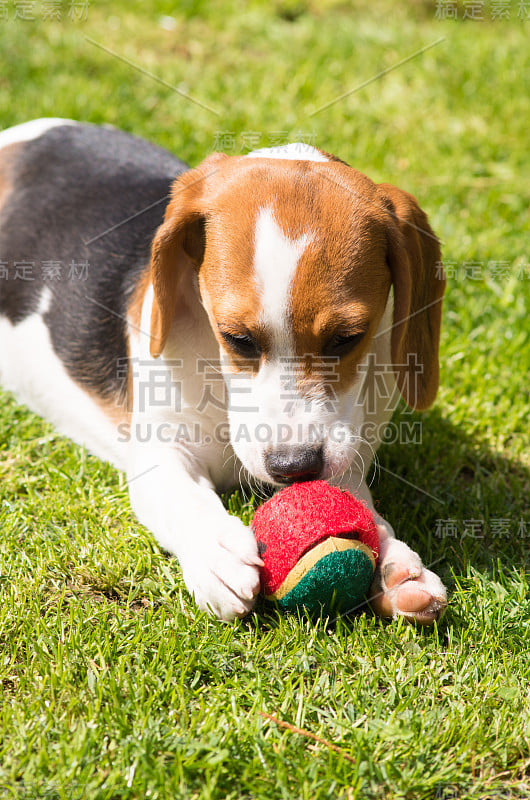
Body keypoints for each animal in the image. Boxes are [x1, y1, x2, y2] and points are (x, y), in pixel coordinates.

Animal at [0, 119, 446, 620]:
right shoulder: (160, 451)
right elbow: (182, 498)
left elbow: (360, 505)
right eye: (237, 339)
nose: (293, 467)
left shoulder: (345, 456)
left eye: (348, 338)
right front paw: (215, 552)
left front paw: (395, 565)